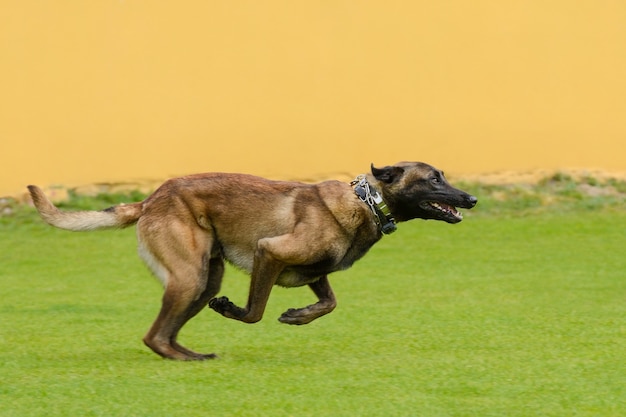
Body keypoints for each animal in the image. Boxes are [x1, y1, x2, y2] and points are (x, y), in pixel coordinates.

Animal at [26, 161, 476, 360]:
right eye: (433, 179)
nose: (470, 199)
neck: (368, 202)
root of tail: (150, 199)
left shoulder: (315, 272)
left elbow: (329, 301)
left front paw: (298, 315)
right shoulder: (269, 252)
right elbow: (255, 311)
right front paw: (236, 311)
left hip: (204, 279)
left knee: (166, 332)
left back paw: (190, 354)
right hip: (189, 278)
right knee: (154, 336)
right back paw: (182, 358)